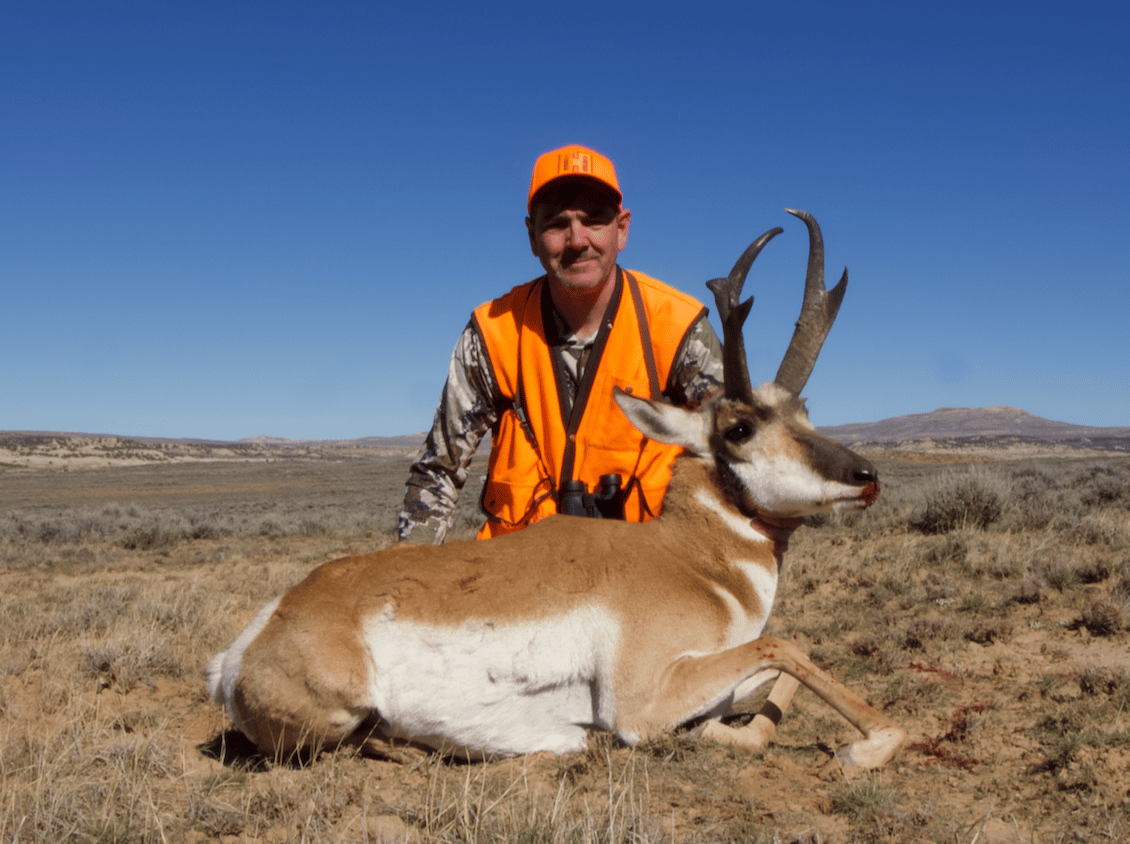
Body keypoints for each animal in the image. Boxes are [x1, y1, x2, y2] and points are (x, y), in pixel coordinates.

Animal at [207, 209, 904, 769]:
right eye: (739, 427)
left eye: (804, 410)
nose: (866, 477)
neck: (690, 561)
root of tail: (249, 643)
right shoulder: (643, 701)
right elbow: (784, 645)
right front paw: (874, 742)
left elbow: (776, 677)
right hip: (335, 712)